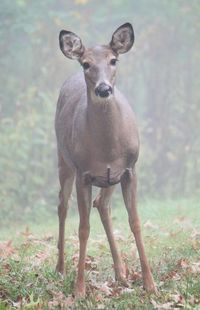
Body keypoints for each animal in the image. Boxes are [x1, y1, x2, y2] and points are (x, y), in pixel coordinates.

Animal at [55, 23, 156, 296]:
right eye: (86, 64)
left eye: (114, 60)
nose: (103, 89)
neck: (106, 148)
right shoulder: (84, 174)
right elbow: (83, 229)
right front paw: (79, 289)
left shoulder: (130, 169)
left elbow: (135, 222)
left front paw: (149, 283)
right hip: (63, 159)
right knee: (62, 206)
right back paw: (60, 269)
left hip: (110, 178)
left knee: (102, 204)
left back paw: (121, 272)